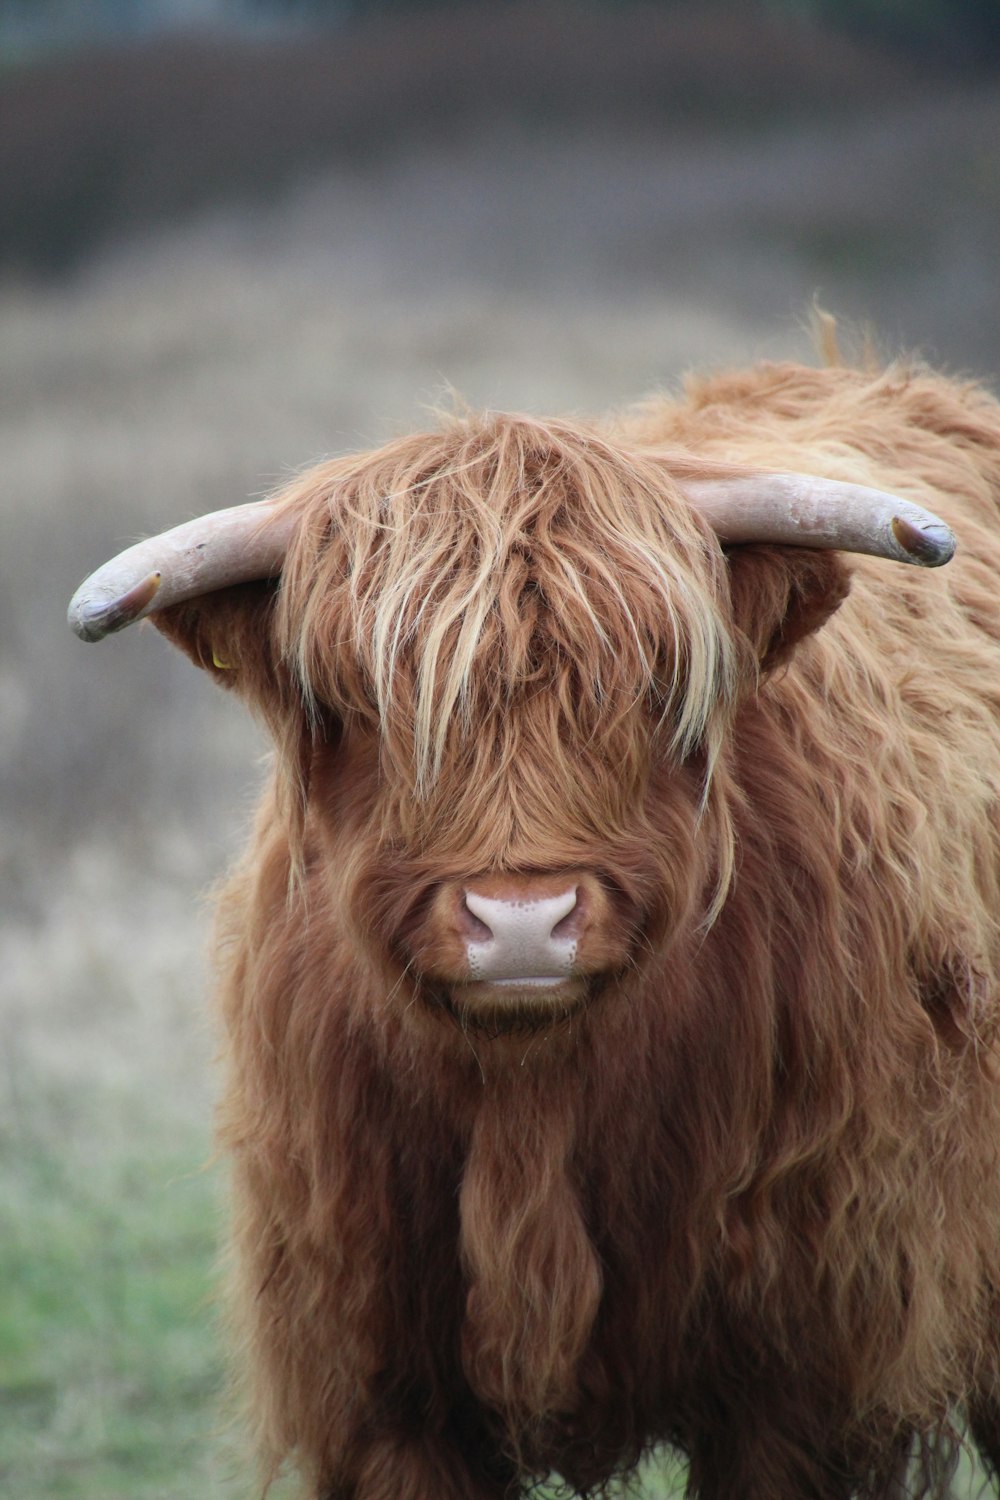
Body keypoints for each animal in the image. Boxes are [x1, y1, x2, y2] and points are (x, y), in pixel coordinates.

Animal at [70, 354, 1000, 1500]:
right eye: (357, 702)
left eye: (656, 687)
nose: (521, 922)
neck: (535, 1111)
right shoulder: (378, 1392)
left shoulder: (799, 1387)